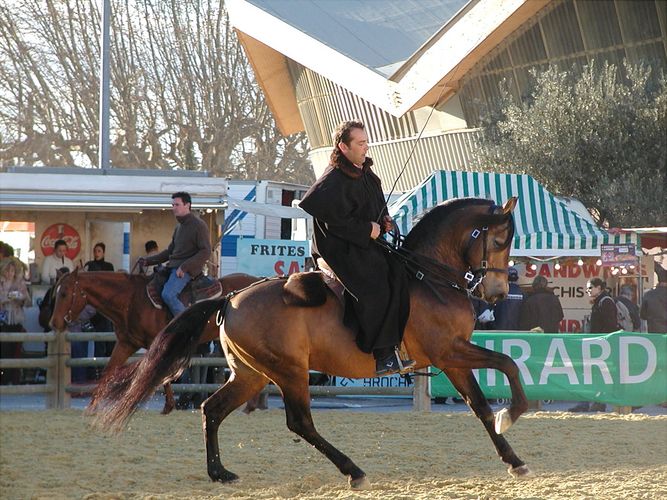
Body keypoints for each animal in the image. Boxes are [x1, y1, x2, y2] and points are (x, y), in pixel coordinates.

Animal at [47, 270, 260, 414]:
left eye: (64, 293)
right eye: (55, 293)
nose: (54, 323)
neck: (132, 300)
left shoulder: (155, 343)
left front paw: (168, 406)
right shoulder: (126, 344)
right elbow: (109, 371)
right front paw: (92, 406)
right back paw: (250, 405)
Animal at [95, 198, 532, 488]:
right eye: (498, 241)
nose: (496, 293)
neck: (429, 279)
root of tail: (230, 297)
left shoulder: (453, 358)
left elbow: (479, 405)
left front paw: (513, 458)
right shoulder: (449, 351)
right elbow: (507, 365)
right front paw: (511, 413)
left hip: (252, 374)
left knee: (213, 409)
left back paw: (219, 472)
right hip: (289, 371)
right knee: (300, 421)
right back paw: (352, 470)